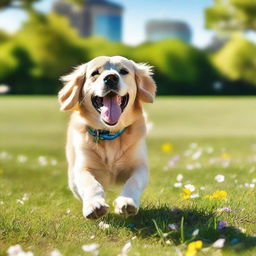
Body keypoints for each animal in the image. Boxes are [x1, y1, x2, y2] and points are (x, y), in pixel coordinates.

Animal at [58, 56, 156, 220]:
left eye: (124, 71)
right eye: (95, 73)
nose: (111, 78)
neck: (110, 135)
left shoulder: (140, 166)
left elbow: (134, 181)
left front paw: (127, 202)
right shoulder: (82, 167)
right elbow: (90, 183)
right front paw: (94, 205)